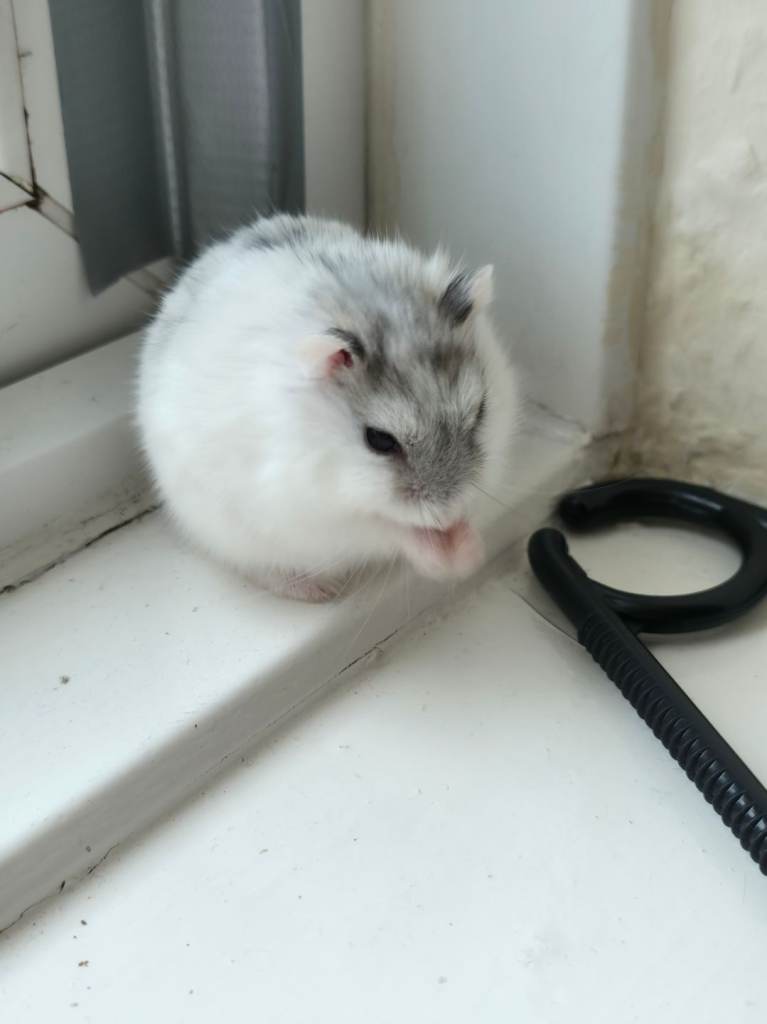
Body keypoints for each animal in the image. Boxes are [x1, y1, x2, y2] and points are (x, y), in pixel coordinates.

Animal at [136, 214, 520, 601]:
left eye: (480, 413)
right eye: (379, 440)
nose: (448, 512)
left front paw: (468, 552)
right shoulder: (323, 516)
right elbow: (390, 528)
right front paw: (451, 561)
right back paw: (317, 591)